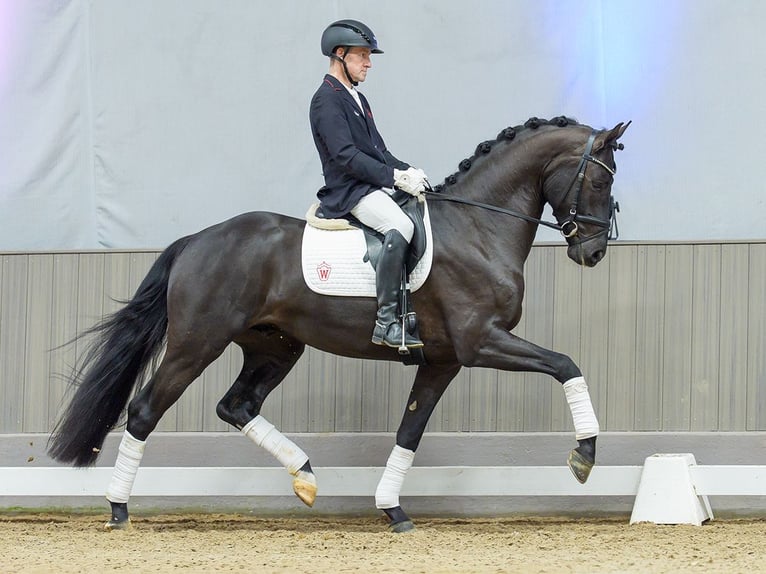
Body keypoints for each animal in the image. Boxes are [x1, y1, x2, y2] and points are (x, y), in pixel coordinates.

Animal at [48, 116, 629, 532]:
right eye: (601, 179)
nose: (595, 252)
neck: (478, 226)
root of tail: (197, 239)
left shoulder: (443, 360)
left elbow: (409, 432)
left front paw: (392, 510)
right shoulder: (480, 342)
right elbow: (566, 364)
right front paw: (584, 456)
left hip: (276, 347)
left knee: (236, 406)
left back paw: (305, 476)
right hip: (197, 343)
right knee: (145, 410)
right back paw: (118, 509)